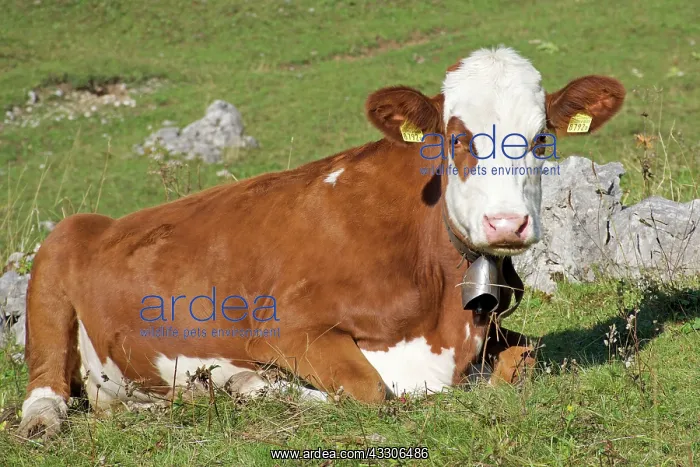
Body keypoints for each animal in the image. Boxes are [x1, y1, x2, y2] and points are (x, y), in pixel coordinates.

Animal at [18, 46, 625, 439]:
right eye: (455, 139)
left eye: (542, 138)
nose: (506, 224)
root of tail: (103, 221)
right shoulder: (286, 326)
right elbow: (371, 391)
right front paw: (256, 386)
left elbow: (527, 355)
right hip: (54, 262)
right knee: (45, 390)